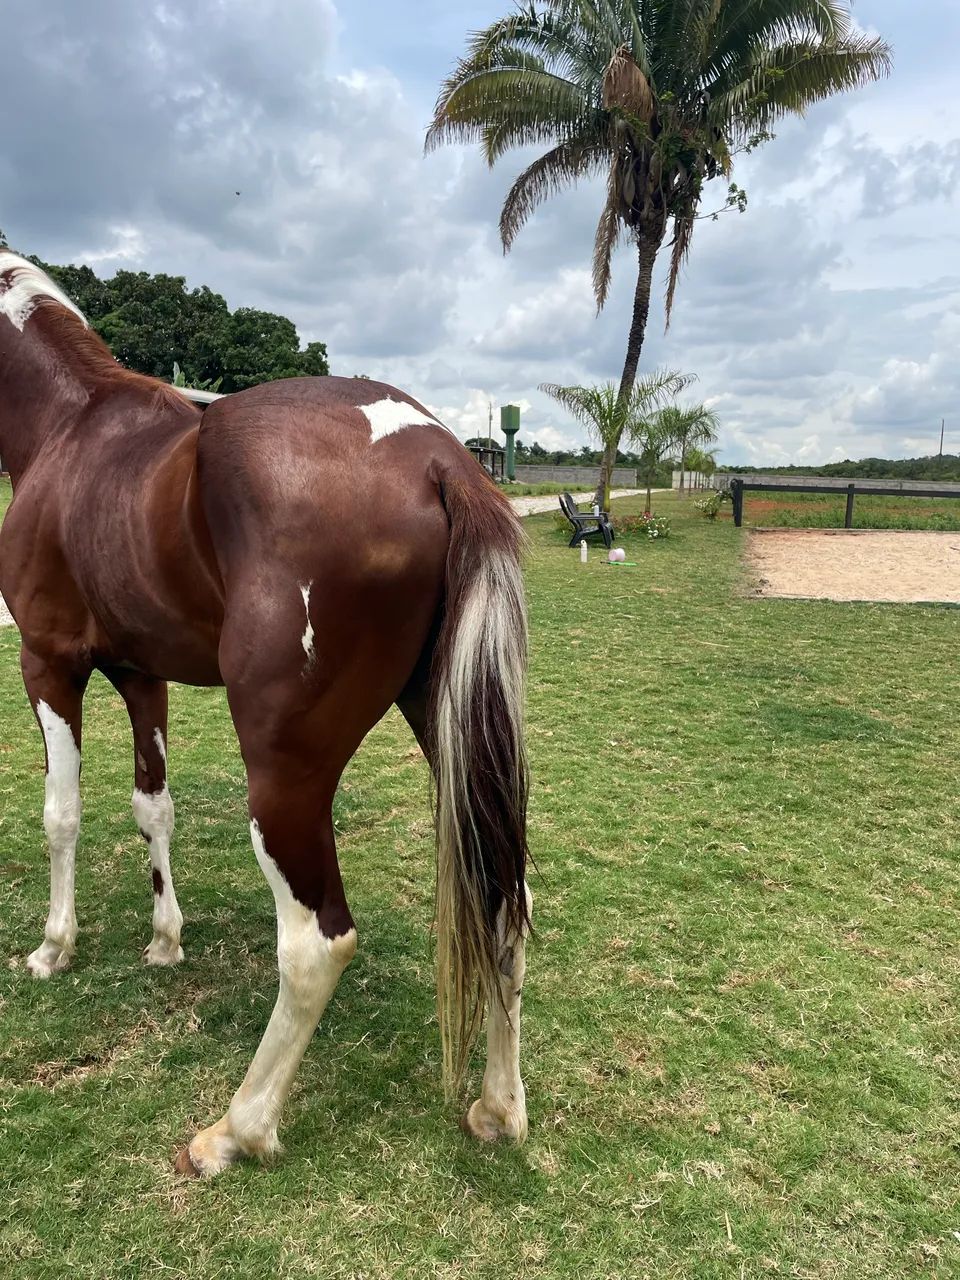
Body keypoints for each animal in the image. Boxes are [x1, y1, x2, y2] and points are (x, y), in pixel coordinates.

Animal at [0, 249, 531, 1176]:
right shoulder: (141, 676)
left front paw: (54, 947)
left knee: (317, 944)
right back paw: (500, 1108)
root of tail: (442, 460)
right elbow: (152, 806)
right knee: (504, 892)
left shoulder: (48, 664)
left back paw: (238, 1128)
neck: (67, 430)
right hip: (451, 732)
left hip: (283, 776)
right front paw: (165, 939)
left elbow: (61, 815)